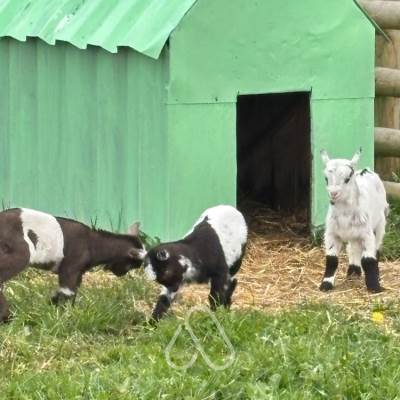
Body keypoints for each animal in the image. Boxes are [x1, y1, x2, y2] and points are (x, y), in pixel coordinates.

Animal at [0, 208, 146, 322]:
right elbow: (68, 291)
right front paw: (61, 314)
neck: (92, 244)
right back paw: (7, 317)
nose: (121, 274)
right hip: (21, 253)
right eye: (134, 265)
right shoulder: (71, 266)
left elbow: (72, 292)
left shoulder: (79, 272)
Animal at [319, 149, 388, 293]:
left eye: (347, 178)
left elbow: (368, 259)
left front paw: (374, 286)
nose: (333, 193)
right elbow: (332, 259)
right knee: (353, 248)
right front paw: (326, 284)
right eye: (326, 178)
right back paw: (353, 271)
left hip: (380, 223)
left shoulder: (367, 234)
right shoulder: (331, 233)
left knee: (376, 249)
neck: (344, 213)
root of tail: (366, 170)